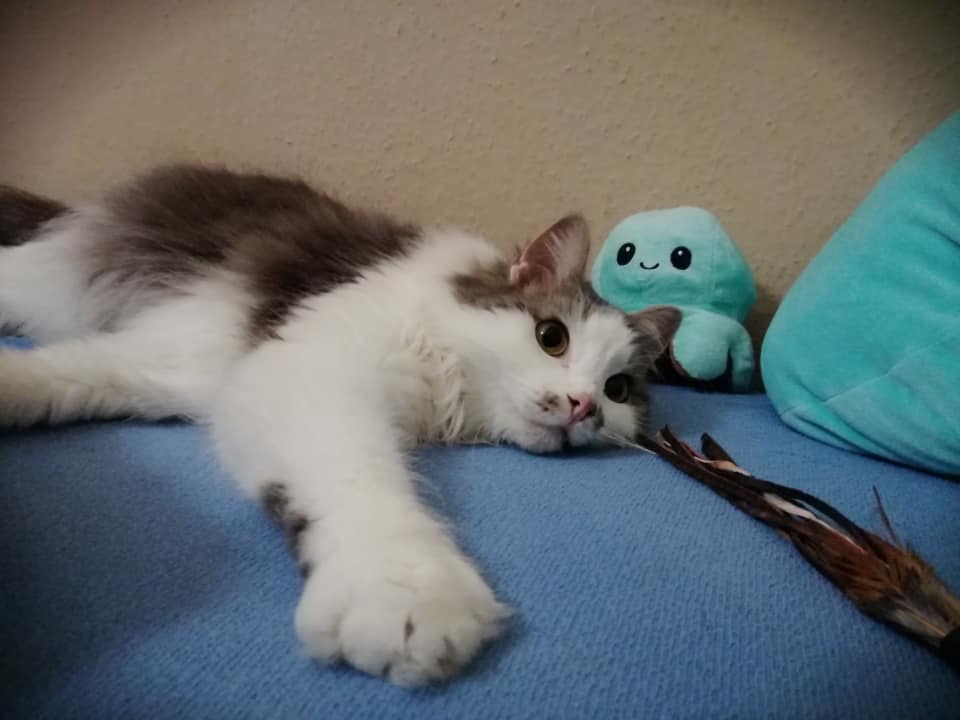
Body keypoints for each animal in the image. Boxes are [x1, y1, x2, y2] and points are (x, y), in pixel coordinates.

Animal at [0, 165, 680, 686]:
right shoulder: (313, 367)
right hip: (42, 276)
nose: (583, 407)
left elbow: (53, 377)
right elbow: (363, 486)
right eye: (551, 338)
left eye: (618, 391)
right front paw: (405, 589)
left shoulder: (183, 369)